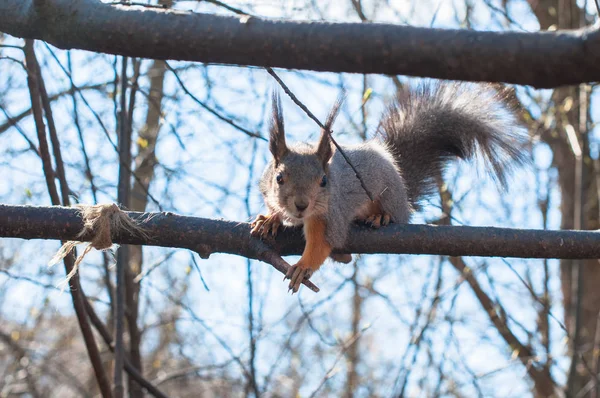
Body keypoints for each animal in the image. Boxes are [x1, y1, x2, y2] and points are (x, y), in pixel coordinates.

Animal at [251, 81, 528, 292]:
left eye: (324, 181)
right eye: (279, 178)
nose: (301, 205)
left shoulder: (332, 215)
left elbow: (324, 242)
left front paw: (303, 266)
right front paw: (269, 219)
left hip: (391, 197)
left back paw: (381, 217)